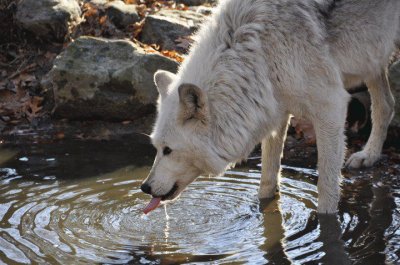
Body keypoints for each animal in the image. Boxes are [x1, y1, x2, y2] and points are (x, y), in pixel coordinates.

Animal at [141, 0, 400, 212]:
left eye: (168, 150)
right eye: (156, 147)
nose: (144, 187)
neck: (259, 47)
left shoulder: (331, 106)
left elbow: (326, 186)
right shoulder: (274, 108)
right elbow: (268, 176)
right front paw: (262, 208)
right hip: (372, 57)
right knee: (387, 105)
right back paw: (369, 156)